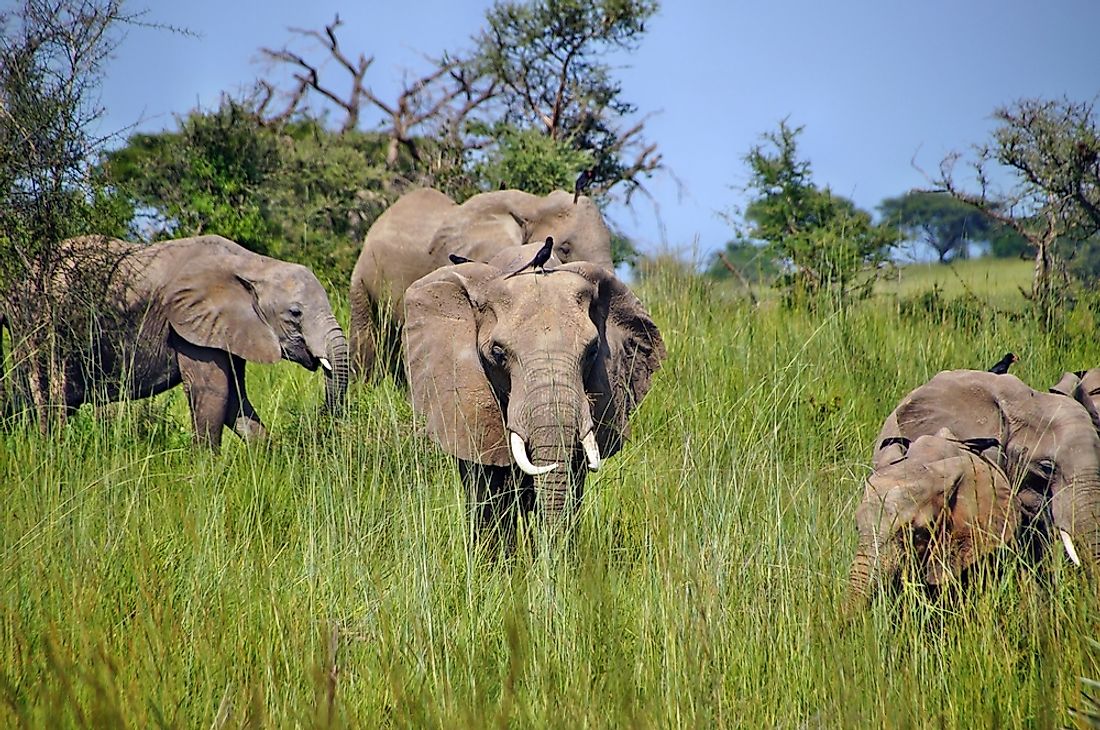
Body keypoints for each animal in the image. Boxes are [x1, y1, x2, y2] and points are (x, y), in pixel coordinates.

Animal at [27, 236, 347, 448]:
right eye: (295, 313)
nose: (322, 423)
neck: (254, 264)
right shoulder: (190, 327)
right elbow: (213, 392)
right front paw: (206, 474)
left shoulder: (229, 330)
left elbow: (235, 399)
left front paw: (269, 456)